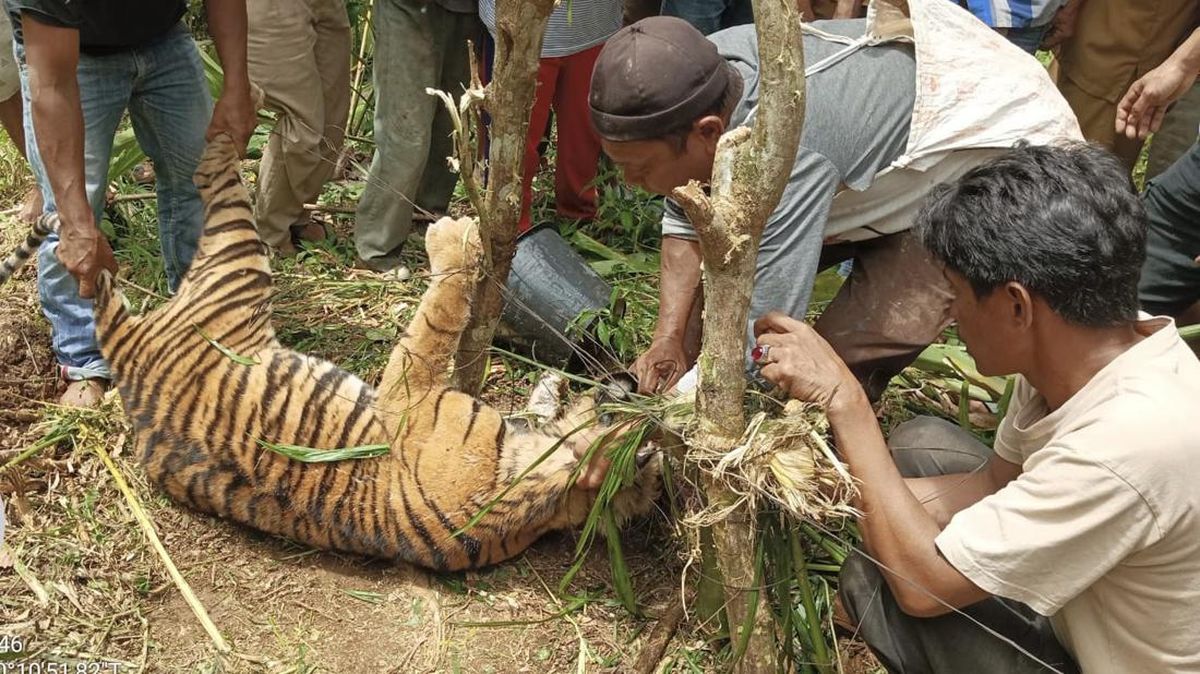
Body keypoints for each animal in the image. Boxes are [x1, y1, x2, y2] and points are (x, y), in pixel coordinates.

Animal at [54, 132, 657, 570]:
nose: (632, 384)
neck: (546, 493)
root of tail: (126, 359)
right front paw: (552, 384)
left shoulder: (412, 398)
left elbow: (438, 318)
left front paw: (453, 235)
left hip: (238, 263)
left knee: (211, 176)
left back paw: (228, 128)